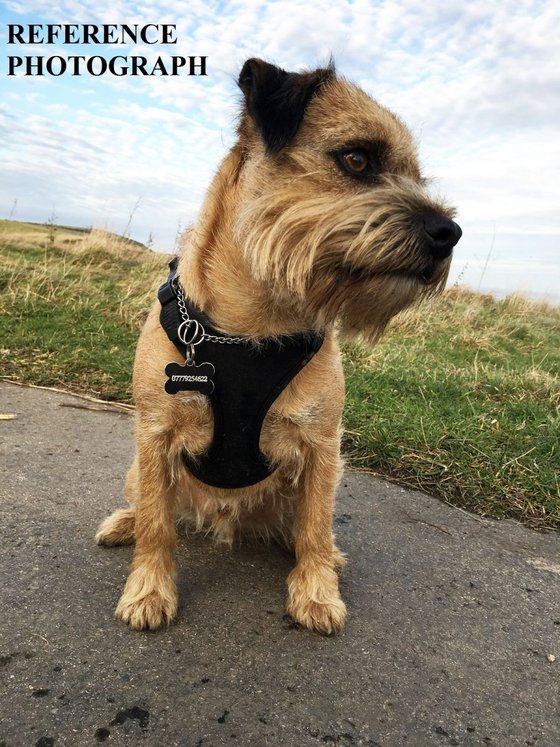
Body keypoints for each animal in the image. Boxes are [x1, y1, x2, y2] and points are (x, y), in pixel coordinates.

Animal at [96, 58, 462, 636]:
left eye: (418, 177)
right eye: (357, 158)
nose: (450, 233)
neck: (254, 327)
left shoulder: (322, 447)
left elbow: (314, 527)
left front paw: (316, 590)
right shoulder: (153, 438)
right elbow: (159, 525)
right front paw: (149, 589)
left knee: (310, 526)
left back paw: (328, 558)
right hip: (138, 469)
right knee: (158, 510)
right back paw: (124, 523)